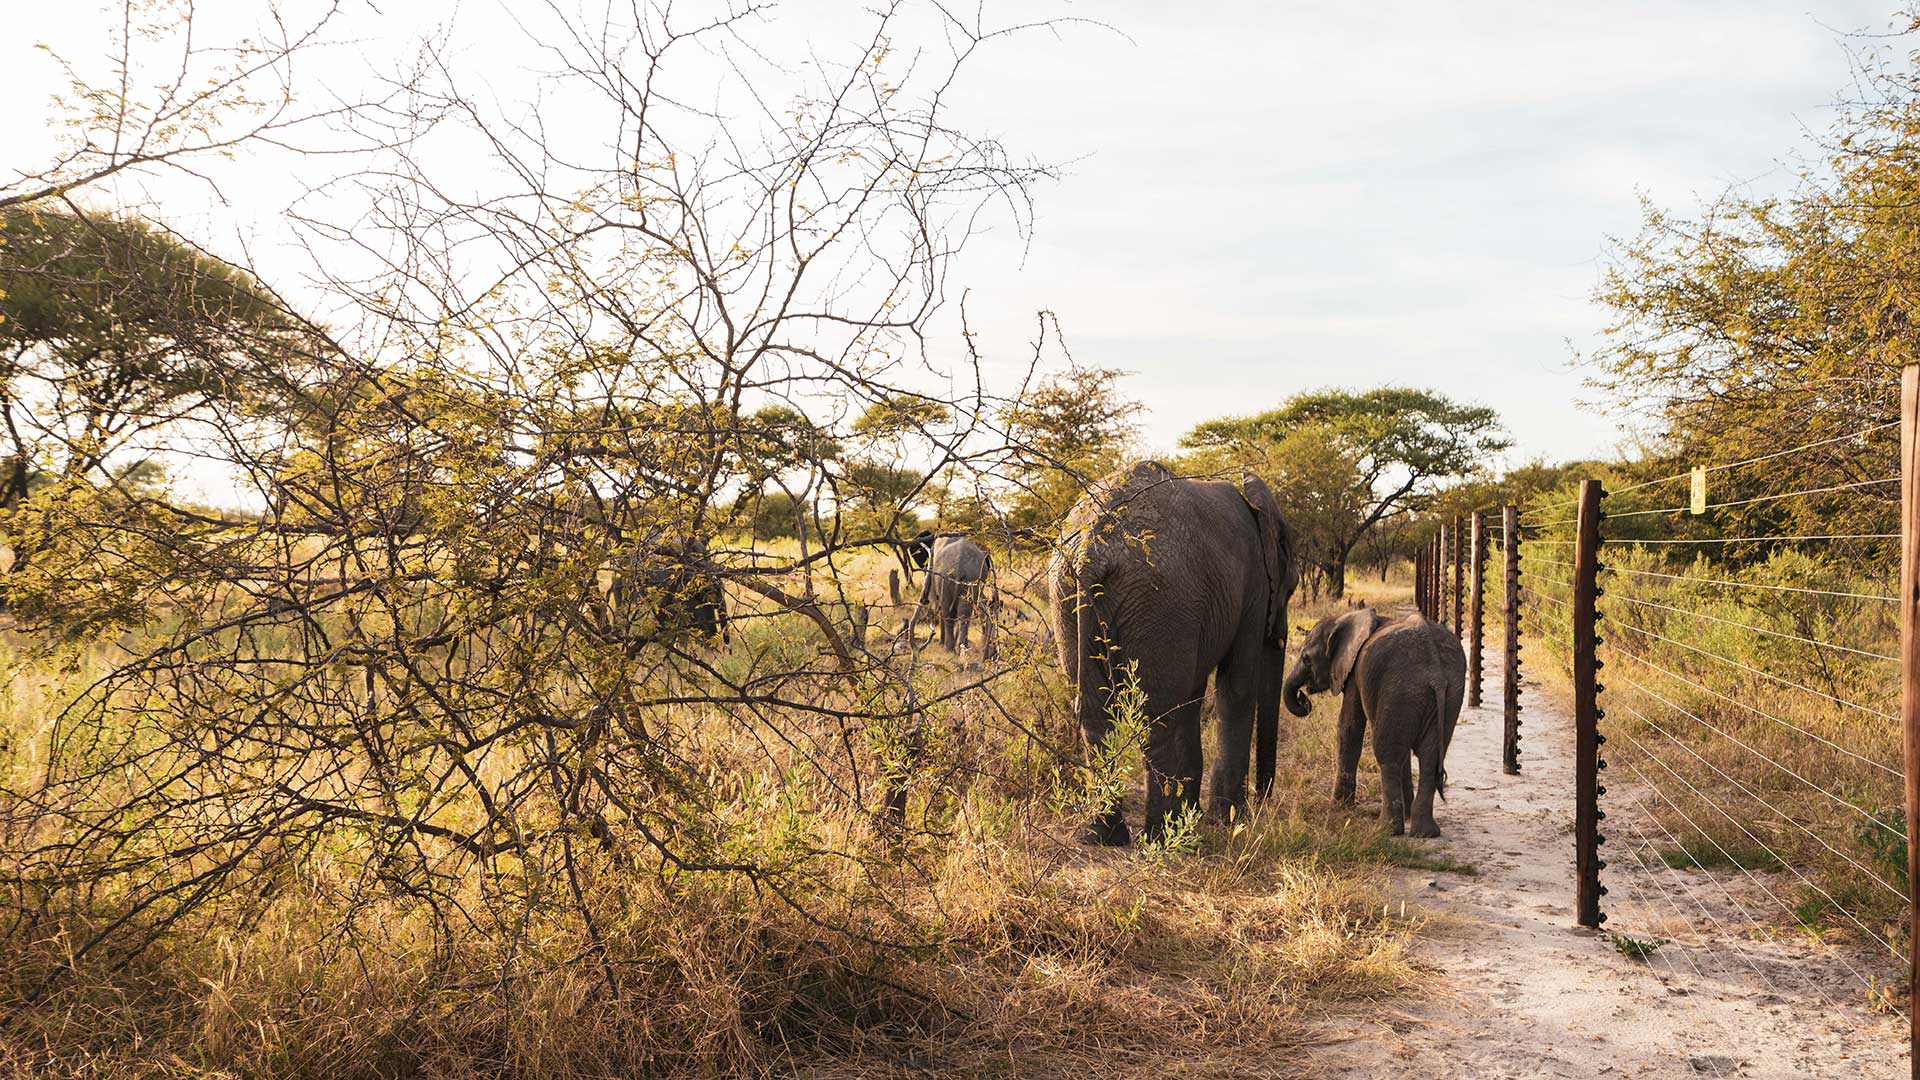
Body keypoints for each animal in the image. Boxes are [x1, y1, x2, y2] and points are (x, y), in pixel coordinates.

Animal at [1052, 457, 1305, 845]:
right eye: (1291, 587)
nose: (1265, 796)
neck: (1258, 506)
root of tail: (1091, 548)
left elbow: (1193, 696)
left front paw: (1196, 815)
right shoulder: (1253, 588)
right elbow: (1237, 688)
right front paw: (1227, 819)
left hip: (1069, 594)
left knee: (1097, 715)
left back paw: (1105, 836)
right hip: (1162, 598)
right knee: (1155, 715)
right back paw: (1158, 836)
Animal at [1282, 607, 1459, 834]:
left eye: (1306, 658)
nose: (1303, 698)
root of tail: (1435, 671)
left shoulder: (1355, 671)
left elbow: (1349, 728)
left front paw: (1338, 808)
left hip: (1400, 688)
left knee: (1388, 754)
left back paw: (1386, 829)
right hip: (1446, 694)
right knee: (1428, 757)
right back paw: (1425, 833)